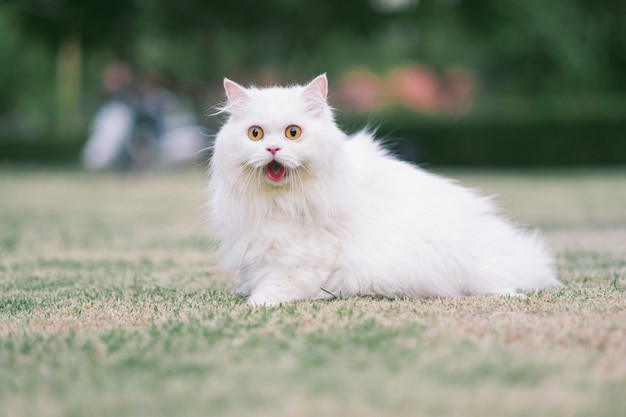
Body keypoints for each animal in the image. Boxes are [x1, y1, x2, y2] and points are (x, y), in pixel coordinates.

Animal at [207, 74, 560, 306]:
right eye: (255, 134)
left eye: (293, 133)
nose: (273, 149)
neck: (278, 201)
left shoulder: (303, 258)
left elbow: (277, 288)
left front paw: (256, 303)